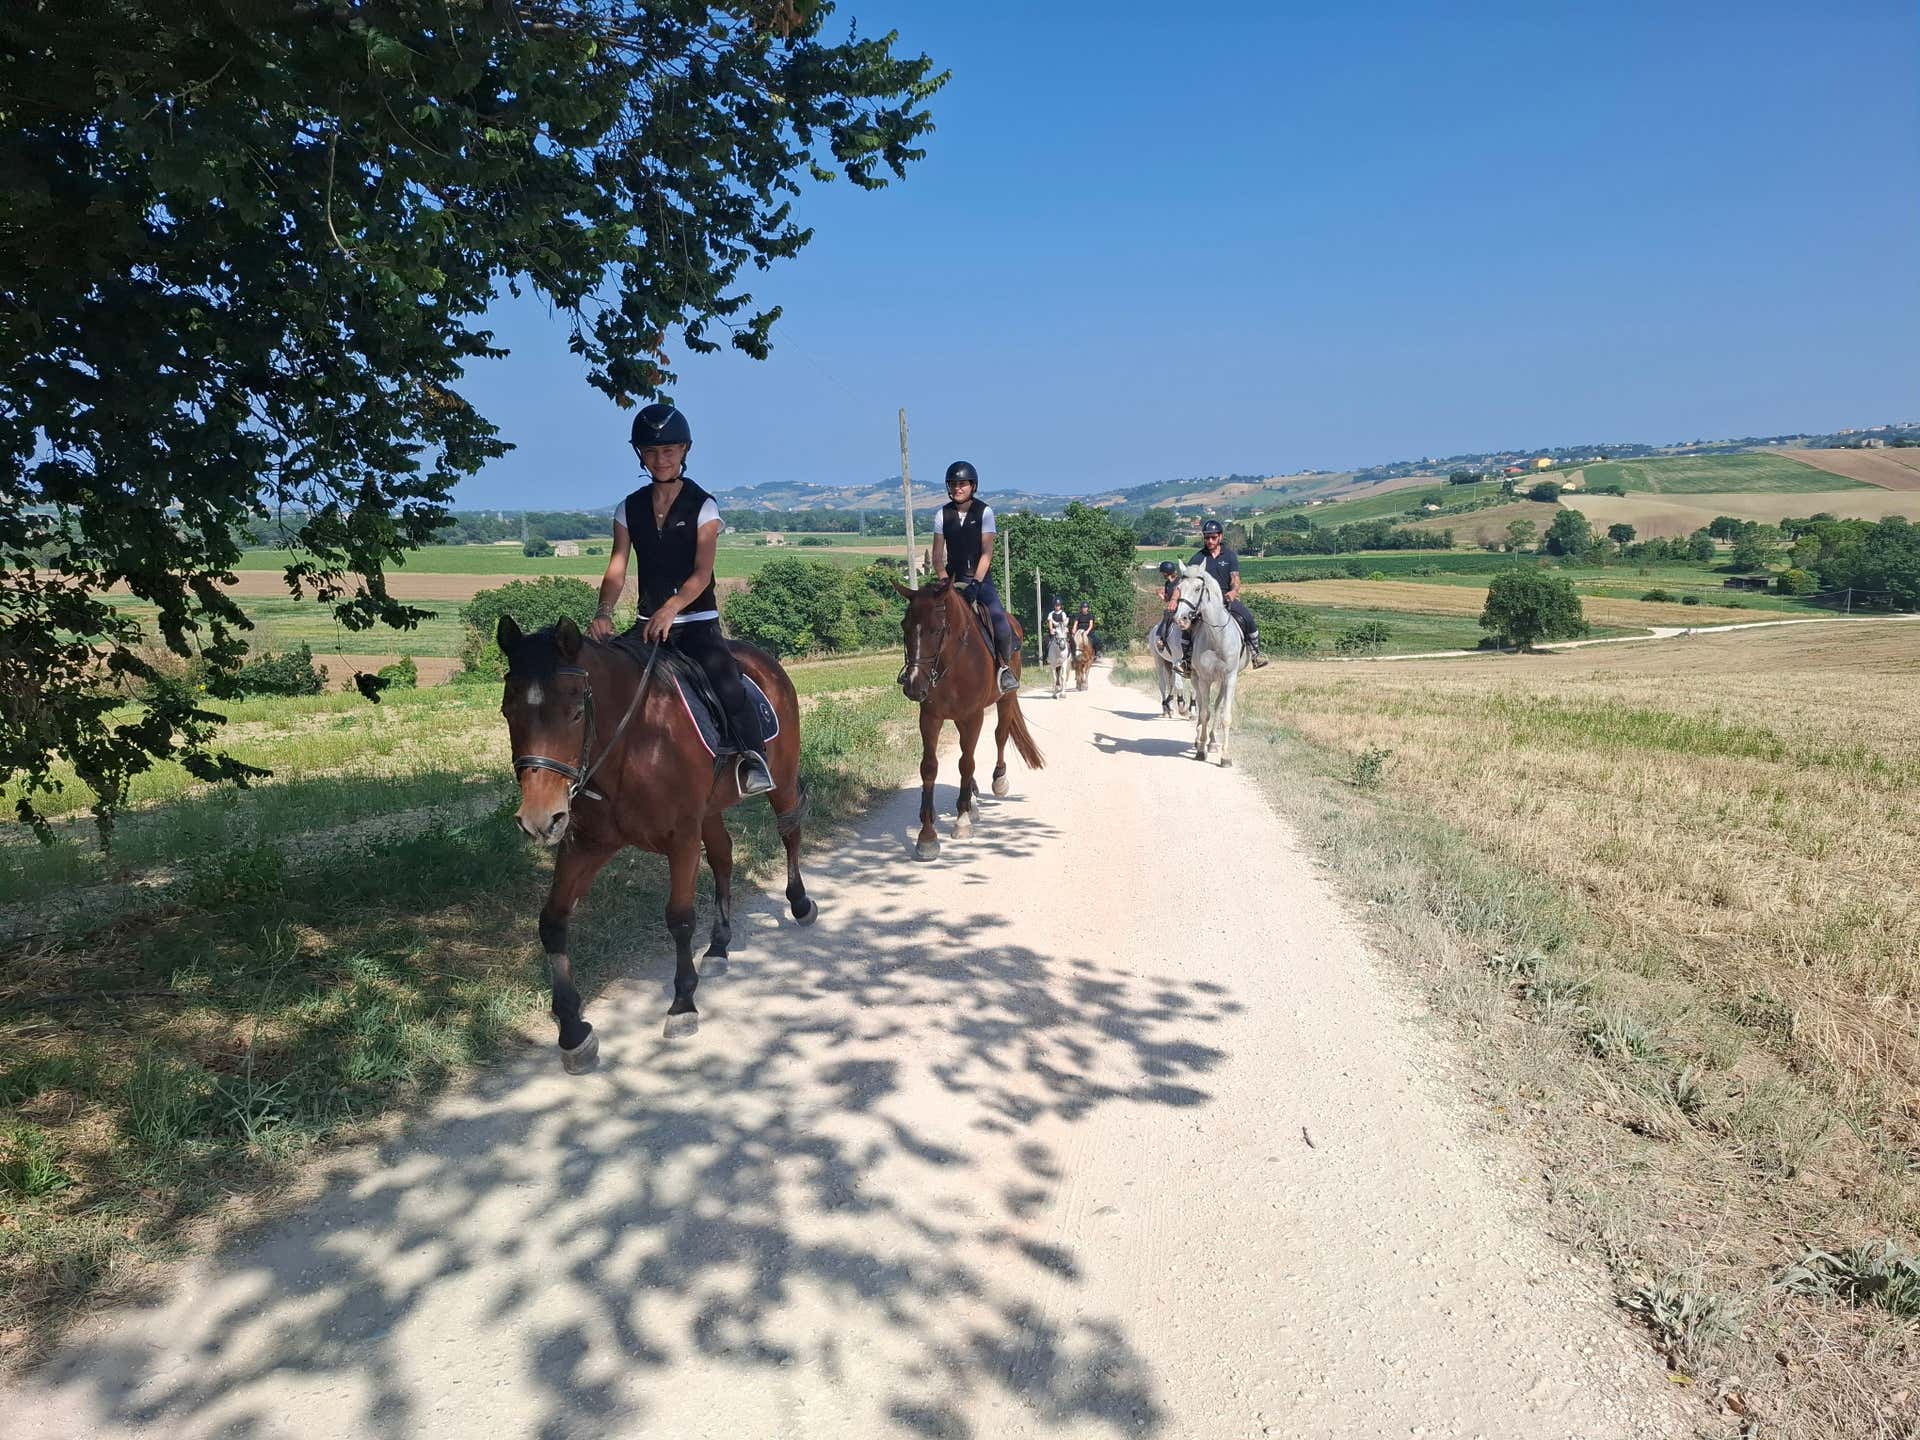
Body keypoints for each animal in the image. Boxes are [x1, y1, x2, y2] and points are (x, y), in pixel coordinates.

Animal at [497, 615, 816, 1069]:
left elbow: (679, 919)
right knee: (724, 857)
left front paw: (682, 1004)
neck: (635, 744)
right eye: (509, 712)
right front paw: (573, 1029)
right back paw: (718, 947)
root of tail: (765, 662)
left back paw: (800, 904)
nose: (540, 820)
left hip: (782, 781)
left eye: (575, 714)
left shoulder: (680, 839)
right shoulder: (585, 844)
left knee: (789, 832)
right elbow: (552, 923)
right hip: (709, 810)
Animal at [893, 579, 1045, 860]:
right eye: (905, 626)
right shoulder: (930, 717)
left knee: (998, 736)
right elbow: (930, 767)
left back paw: (997, 781)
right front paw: (927, 836)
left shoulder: (973, 715)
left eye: (936, 630)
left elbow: (966, 762)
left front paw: (962, 820)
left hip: (1005, 699)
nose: (914, 686)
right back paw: (972, 798)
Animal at [1171, 564, 1250, 766]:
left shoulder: (1230, 678)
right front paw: (1200, 749)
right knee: (1201, 706)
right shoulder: (1205, 679)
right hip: (1197, 678)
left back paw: (1212, 742)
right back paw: (1199, 739)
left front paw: (1225, 756)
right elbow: (1204, 713)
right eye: (1179, 587)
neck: (1217, 636)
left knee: (1216, 706)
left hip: (1221, 680)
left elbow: (1225, 715)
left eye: (1198, 588)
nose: (1180, 619)